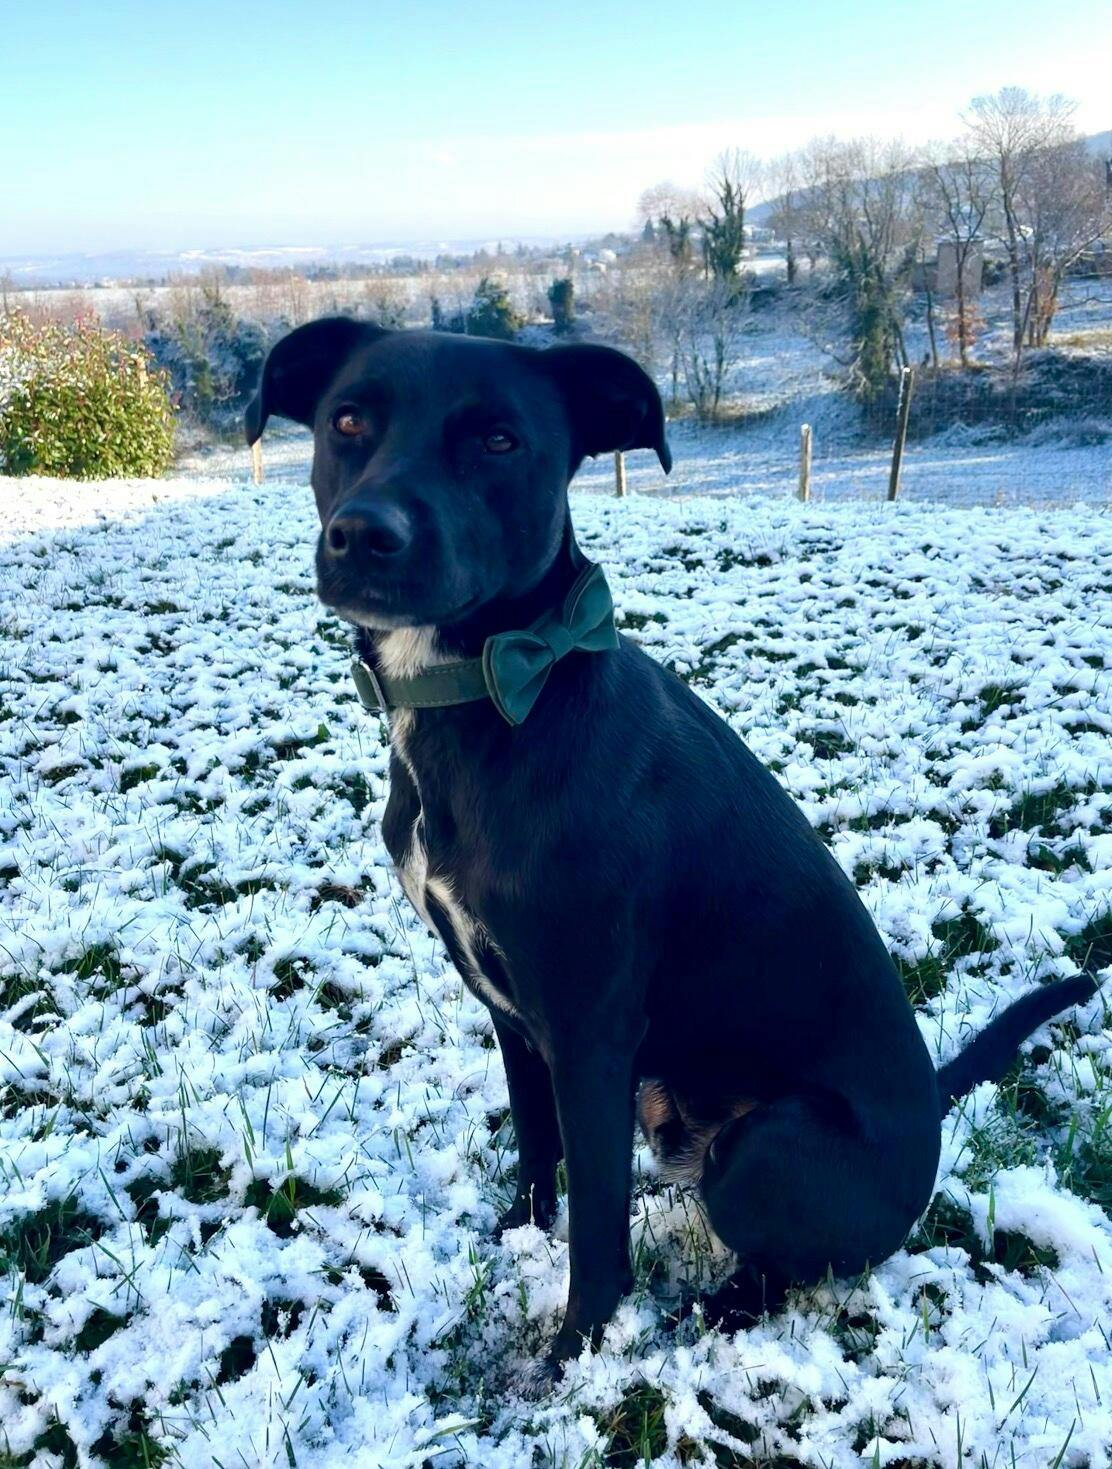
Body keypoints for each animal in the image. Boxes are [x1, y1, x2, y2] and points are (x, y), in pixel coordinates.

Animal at [246, 318, 1098, 1381]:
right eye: (348, 421)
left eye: (499, 441)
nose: (365, 533)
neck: (498, 691)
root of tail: (936, 1113)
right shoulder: (513, 1013)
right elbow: (537, 1151)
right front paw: (517, 1238)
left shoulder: (592, 1032)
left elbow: (598, 1231)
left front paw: (575, 1353)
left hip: (763, 1147)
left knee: (785, 1269)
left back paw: (709, 1313)